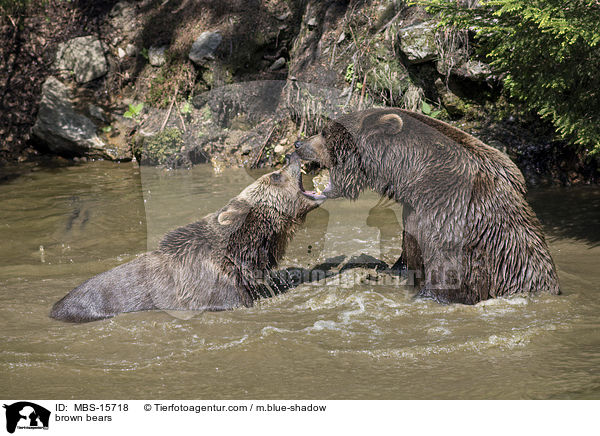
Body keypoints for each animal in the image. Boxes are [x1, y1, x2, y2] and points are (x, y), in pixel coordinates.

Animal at [292, 107, 560, 304]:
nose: (298, 144)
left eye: (325, 133)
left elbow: (444, 271)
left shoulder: (448, 212)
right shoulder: (414, 210)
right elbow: (408, 251)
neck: (412, 173)